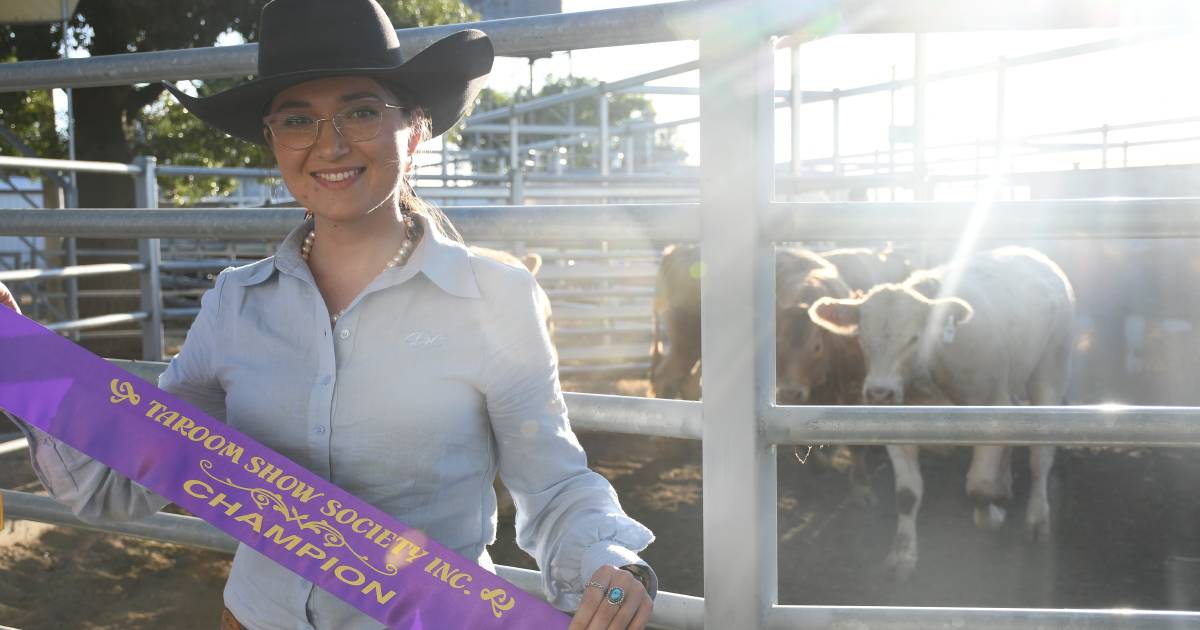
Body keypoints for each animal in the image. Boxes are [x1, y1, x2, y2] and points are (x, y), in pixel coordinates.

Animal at [811, 246, 1075, 580]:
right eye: (862, 337)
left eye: (914, 337)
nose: (879, 393)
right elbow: (907, 495)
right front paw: (903, 556)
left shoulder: (991, 405)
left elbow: (978, 486)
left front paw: (992, 516)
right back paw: (1004, 485)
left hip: (1051, 369)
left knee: (1041, 457)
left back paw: (1037, 518)